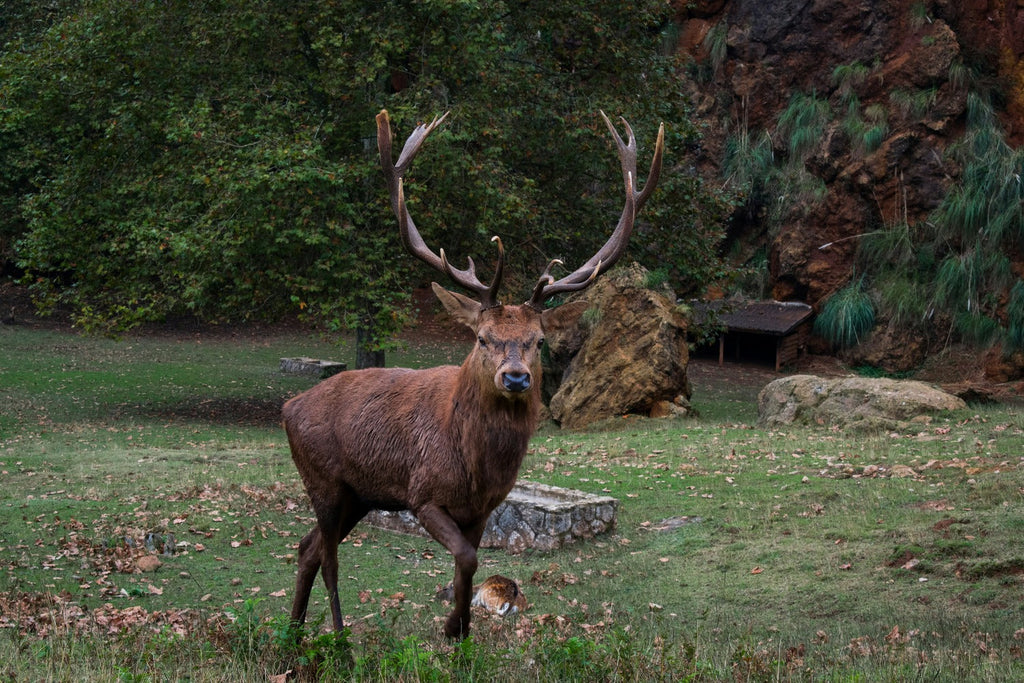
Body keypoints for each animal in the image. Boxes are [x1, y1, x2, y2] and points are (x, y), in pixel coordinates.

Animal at [282, 108, 663, 643]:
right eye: (482, 337)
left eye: (538, 340)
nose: (516, 378)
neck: (477, 466)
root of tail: (287, 406)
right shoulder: (423, 493)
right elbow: (465, 558)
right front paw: (451, 626)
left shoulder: (483, 508)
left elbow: (472, 562)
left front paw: (460, 630)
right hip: (323, 481)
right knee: (329, 556)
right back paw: (338, 639)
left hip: (359, 494)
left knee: (308, 547)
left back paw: (294, 634)